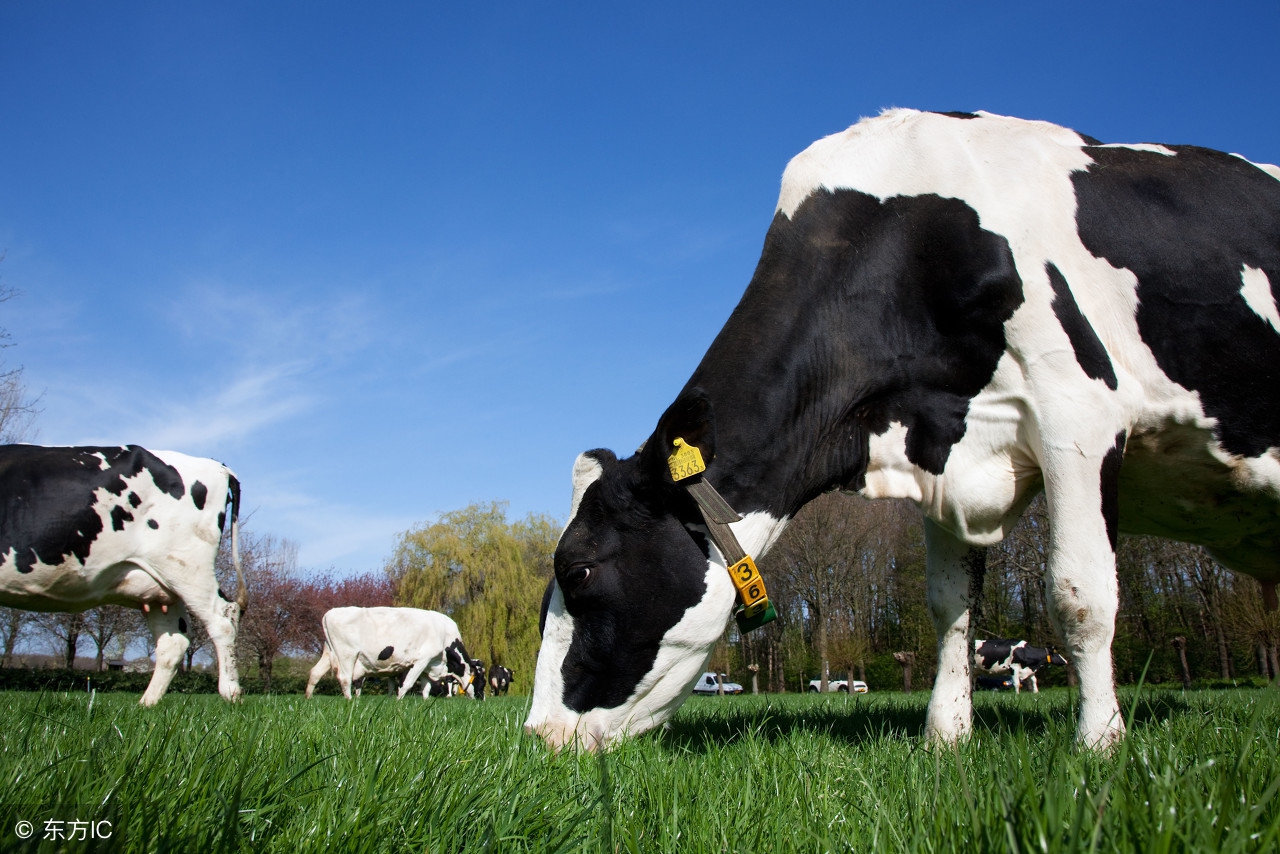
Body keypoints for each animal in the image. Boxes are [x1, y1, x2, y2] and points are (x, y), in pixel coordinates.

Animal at [0, 445, 247, 706]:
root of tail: (219, 467)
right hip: (161, 587)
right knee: (174, 641)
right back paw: (145, 705)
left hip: (186, 567)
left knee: (222, 619)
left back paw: (231, 694)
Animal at [304, 604, 481, 696]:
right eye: (481, 680)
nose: (482, 698)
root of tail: (330, 612)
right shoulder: (421, 660)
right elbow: (406, 684)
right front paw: (398, 704)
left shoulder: (429, 665)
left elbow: (425, 688)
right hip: (347, 654)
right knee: (345, 678)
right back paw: (350, 702)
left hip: (329, 652)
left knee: (315, 673)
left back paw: (308, 698)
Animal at [524, 108, 1280, 752]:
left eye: (579, 569)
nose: (535, 737)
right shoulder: (940, 449)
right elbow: (950, 605)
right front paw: (946, 739)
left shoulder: (1079, 416)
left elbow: (1080, 595)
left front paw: (1099, 745)